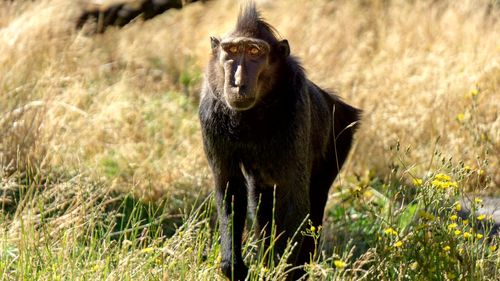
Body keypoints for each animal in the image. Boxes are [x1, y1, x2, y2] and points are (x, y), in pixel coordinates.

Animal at [197, 2, 362, 280]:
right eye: (232, 51)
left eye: (254, 51)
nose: (237, 82)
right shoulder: (210, 110)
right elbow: (231, 187)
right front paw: (234, 266)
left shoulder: (295, 105)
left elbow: (293, 198)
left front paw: (283, 269)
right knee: (262, 202)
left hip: (340, 136)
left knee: (314, 202)